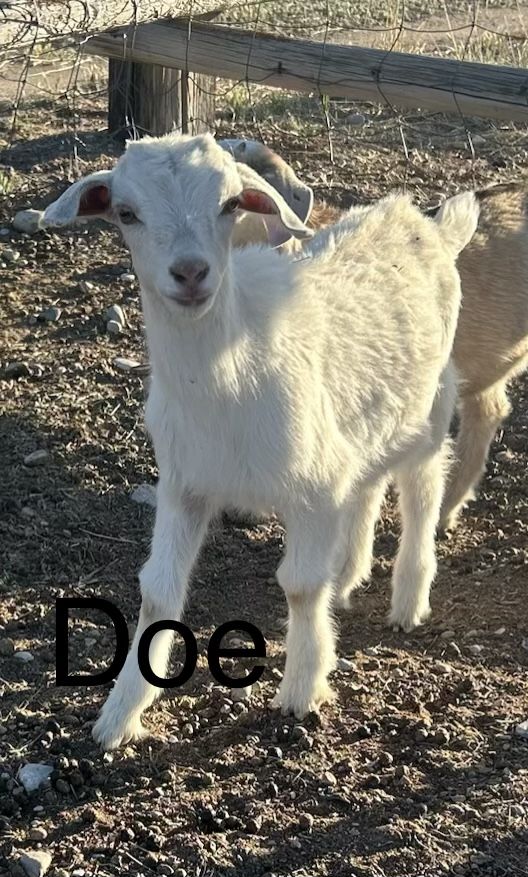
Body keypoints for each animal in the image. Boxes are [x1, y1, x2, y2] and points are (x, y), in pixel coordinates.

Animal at [44, 133, 478, 750]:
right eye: (126, 213)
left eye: (231, 204)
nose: (191, 272)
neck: (229, 376)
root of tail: (426, 223)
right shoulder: (184, 482)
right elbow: (159, 590)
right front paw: (118, 714)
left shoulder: (311, 486)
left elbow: (299, 585)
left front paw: (302, 689)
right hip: (358, 422)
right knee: (366, 484)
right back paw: (349, 577)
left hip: (429, 403)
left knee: (421, 492)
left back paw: (408, 601)